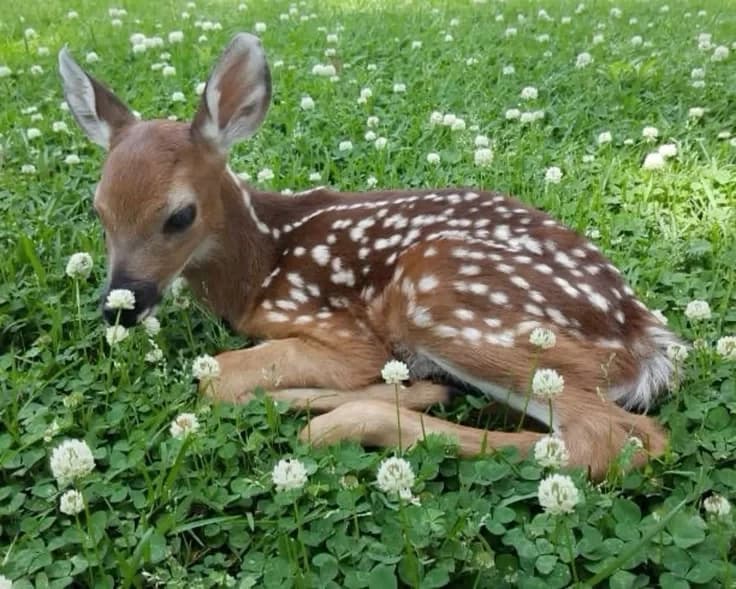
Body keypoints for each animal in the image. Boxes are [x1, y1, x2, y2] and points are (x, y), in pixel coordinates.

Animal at [58, 33, 677, 479]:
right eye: (97, 210)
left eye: (180, 215)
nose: (120, 306)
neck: (260, 265)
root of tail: (646, 337)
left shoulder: (336, 326)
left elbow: (218, 379)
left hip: (447, 299)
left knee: (608, 440)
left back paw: (356, 417)